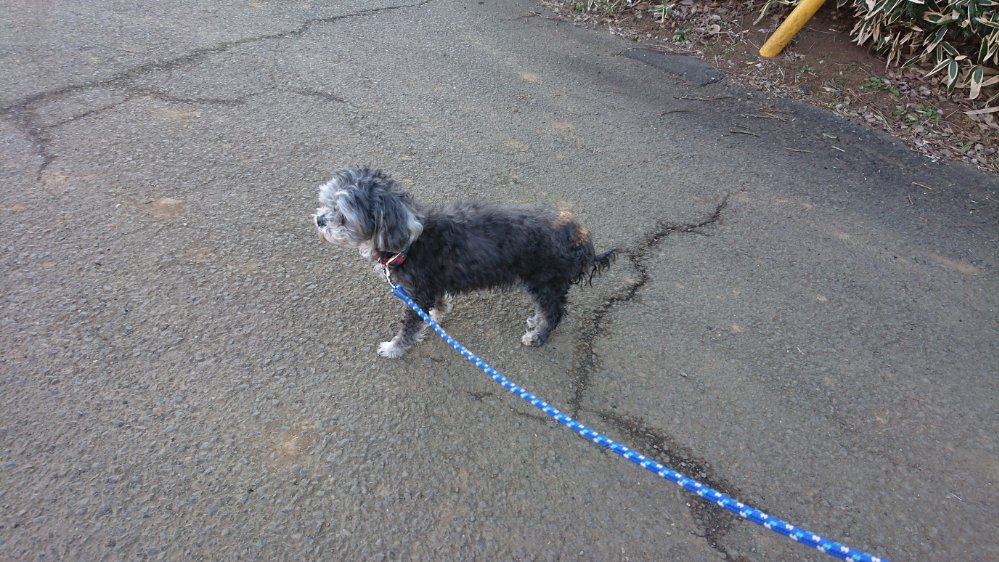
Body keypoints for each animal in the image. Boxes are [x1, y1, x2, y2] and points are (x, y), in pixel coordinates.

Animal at [314, 166, 616, 358]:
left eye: (343, 216)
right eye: (326, 202)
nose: (319, 220)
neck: (408, 243)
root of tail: (579, 239)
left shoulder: (417, 294)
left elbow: (409, 327)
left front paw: (395, 348)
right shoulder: (430, 286)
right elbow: (438, 304)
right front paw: (436, 318)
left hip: (543, 281)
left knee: (554, 313)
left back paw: (537, 336)